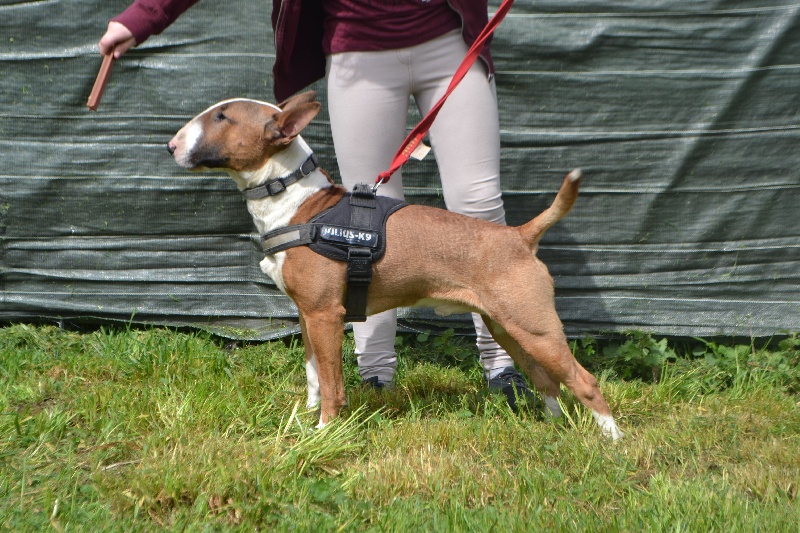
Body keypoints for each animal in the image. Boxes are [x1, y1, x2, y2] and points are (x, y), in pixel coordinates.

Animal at [167, 91, 622, 440]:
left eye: (222, 116)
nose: (170, 146)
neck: (299, 206)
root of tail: (520, 235)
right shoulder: (306, 314)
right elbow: (314, 374)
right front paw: (306, 419)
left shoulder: (325, 315)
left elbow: (332, 383)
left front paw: (323, 433)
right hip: (509, 328)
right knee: (547, 381)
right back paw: (553, 427)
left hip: (535, 327)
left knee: (584, 380)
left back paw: (612, 441)